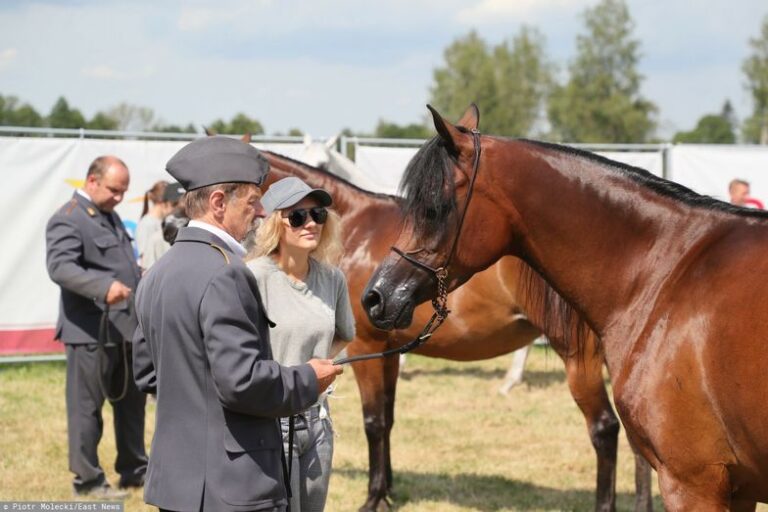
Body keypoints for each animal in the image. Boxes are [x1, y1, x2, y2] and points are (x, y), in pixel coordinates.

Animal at [260, 146, 656, 510]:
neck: (360, 229)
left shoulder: (365, 348)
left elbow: (373, 422)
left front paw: (373, 498)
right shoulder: (389, 350)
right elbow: (388, 417)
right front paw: (389, 490)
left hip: (580, 360)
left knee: (605, 430)